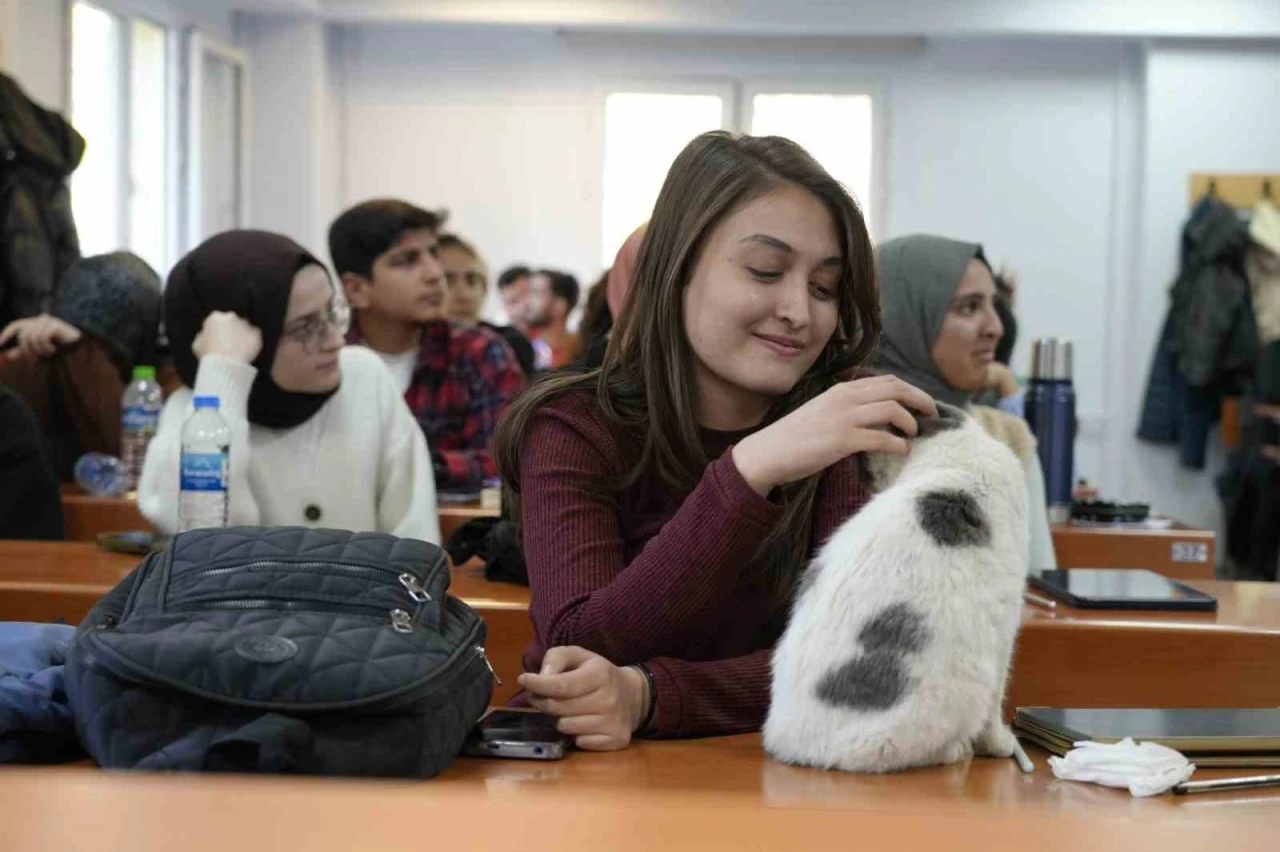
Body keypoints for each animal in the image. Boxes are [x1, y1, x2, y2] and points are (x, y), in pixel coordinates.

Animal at [757, 401, 1029, 772]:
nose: (857, 472)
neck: (954, 451)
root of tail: (796, 749)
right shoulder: (1005, 630)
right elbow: (996, 707)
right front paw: (1000, 743)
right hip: (965, 680)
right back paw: (957, 750)